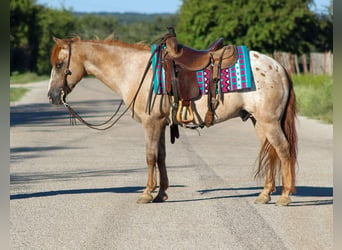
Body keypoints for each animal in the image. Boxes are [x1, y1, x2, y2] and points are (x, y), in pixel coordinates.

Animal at [47, 33, 296, 205]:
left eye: (59, 64)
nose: (51, 96)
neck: (135, 71)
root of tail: (278, 66)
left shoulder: (151, 123)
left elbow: (150, 157)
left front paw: (147, 193)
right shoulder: (161, 124)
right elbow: (161, 157)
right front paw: (161, 193)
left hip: (269, 122)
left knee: (283, 150)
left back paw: (285, 196)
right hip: (258, 122)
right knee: (270, 151)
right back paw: (264, 194)